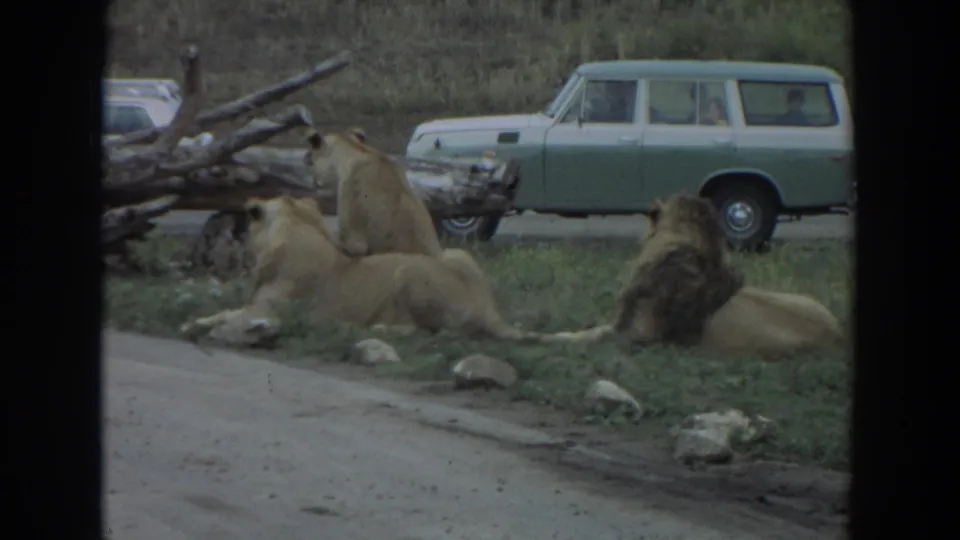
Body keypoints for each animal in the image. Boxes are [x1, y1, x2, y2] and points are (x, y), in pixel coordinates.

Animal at [180, 195, 541, 342]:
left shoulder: (267, 313)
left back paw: (372, 329)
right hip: (454, 252)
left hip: (409, 274)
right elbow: (223, 312)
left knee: (435, 331)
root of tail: (490, 311)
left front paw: (197, 326)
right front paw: (193, 322)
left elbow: (230, 317)